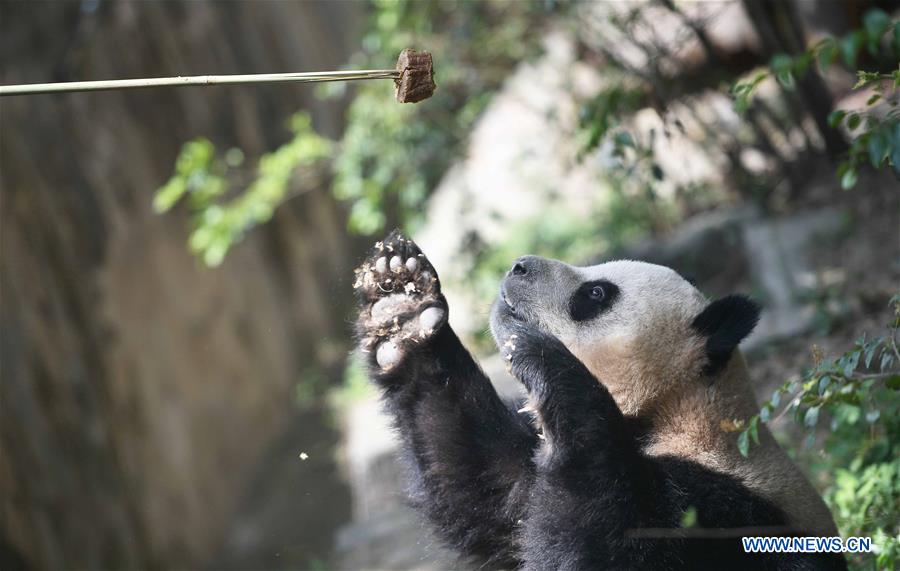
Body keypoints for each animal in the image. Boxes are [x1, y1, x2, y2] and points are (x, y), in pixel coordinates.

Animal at [356, 232, 848, 571]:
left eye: (596, 294)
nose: (519, 266)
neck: (672, 414)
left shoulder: (716, 511)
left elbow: (596, 544)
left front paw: (544, 358)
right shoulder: (525, 468)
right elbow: (479, 483)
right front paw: (402, 308)